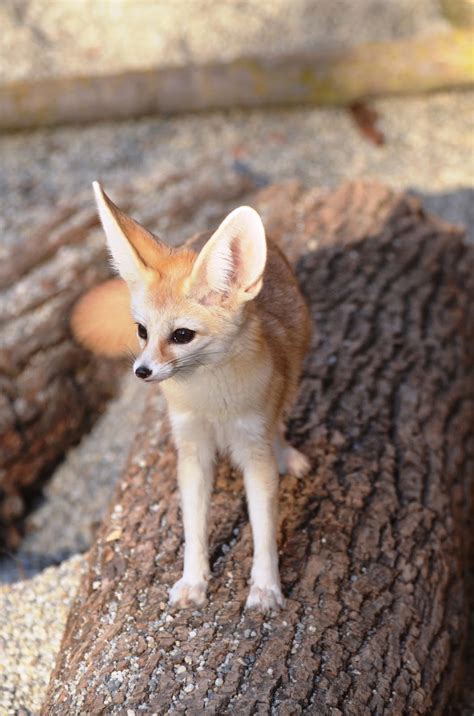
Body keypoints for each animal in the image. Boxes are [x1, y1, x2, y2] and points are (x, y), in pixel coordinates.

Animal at [72, 182, 312, 612]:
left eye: (182, 335)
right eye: (142, 331)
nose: (142, 371)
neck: (212, 402)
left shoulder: (255, 452)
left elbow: (264, 529)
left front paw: (265, 588)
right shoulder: (192, 449)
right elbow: (194, 527)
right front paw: (193, 581)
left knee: (281, 420)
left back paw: (287, 452)